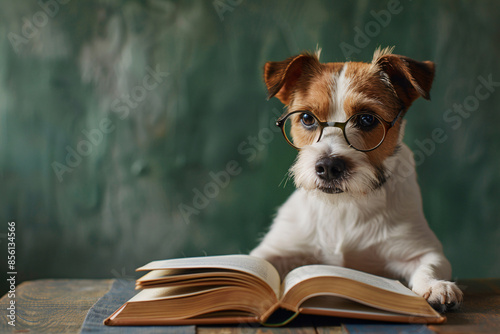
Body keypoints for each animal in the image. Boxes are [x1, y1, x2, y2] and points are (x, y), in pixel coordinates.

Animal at [252, 46, 462, 310]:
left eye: (366, 119)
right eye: (307, 118)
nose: (328, 166)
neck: (345, 206)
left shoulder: (421, 250)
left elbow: (430, 266)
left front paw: (436, 286)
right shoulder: (275, 248)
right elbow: (257, 263)